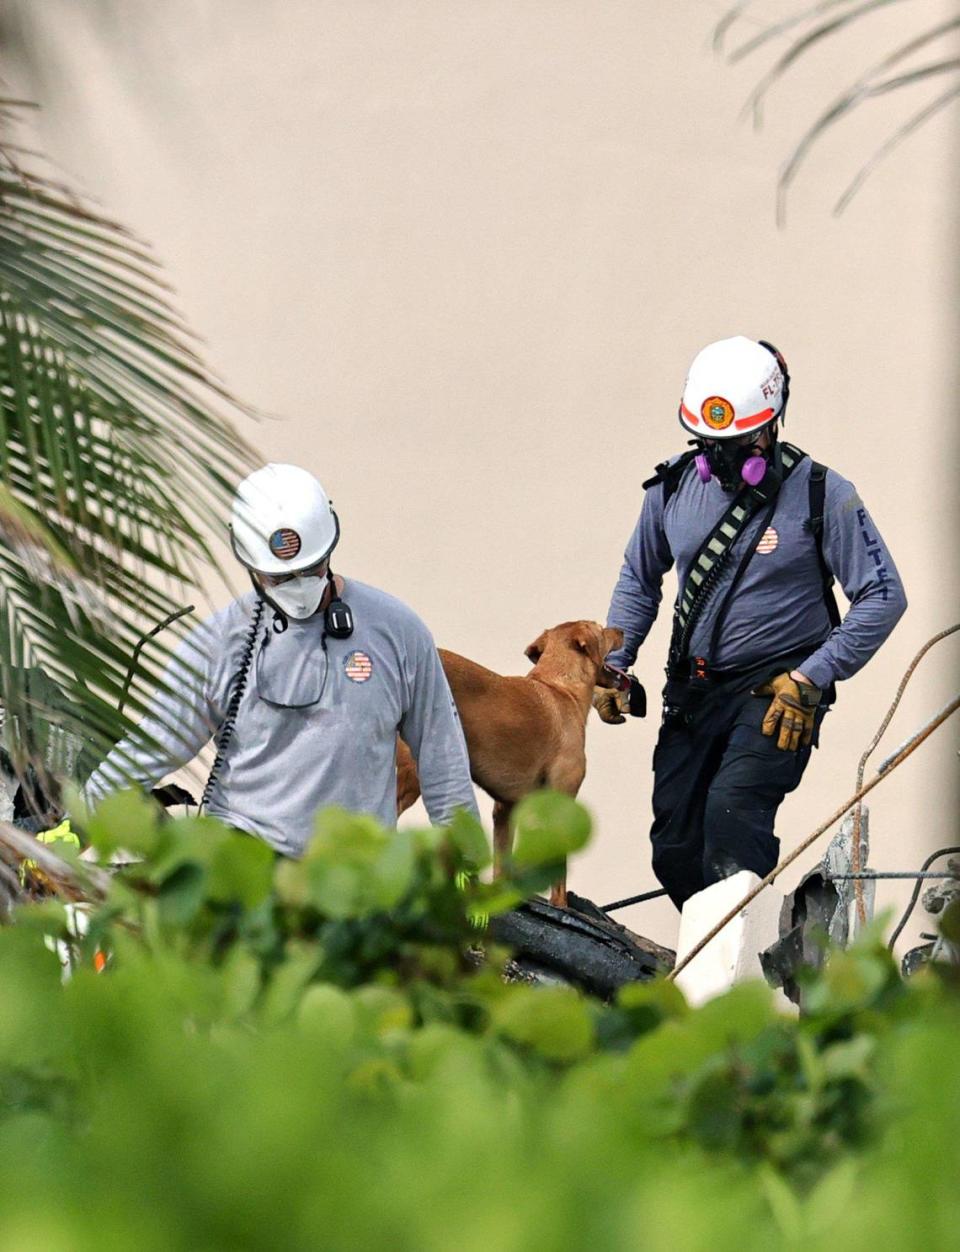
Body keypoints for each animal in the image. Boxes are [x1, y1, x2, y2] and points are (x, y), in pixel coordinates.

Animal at [395, 620, 623, 906]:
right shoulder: (561, 803)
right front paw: (561, 906)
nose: (621, 630)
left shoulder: (505, 808)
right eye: (601, 628)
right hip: (413, 773)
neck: (560, 687)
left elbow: (501, 867)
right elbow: (559, 876)